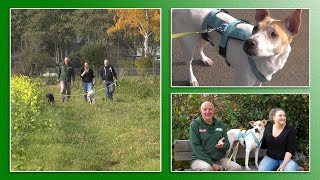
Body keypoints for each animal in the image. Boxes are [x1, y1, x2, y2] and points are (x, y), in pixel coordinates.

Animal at [171, 8, 306, 86]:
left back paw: (204, 59)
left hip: (206, 35)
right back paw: (192, 79)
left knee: (200, 47)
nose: (248, 42)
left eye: (273, 34)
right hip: (188, 43)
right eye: (255, 28)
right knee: (188, 62)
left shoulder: (258, 83)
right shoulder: (241, 83)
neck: (268, 60)